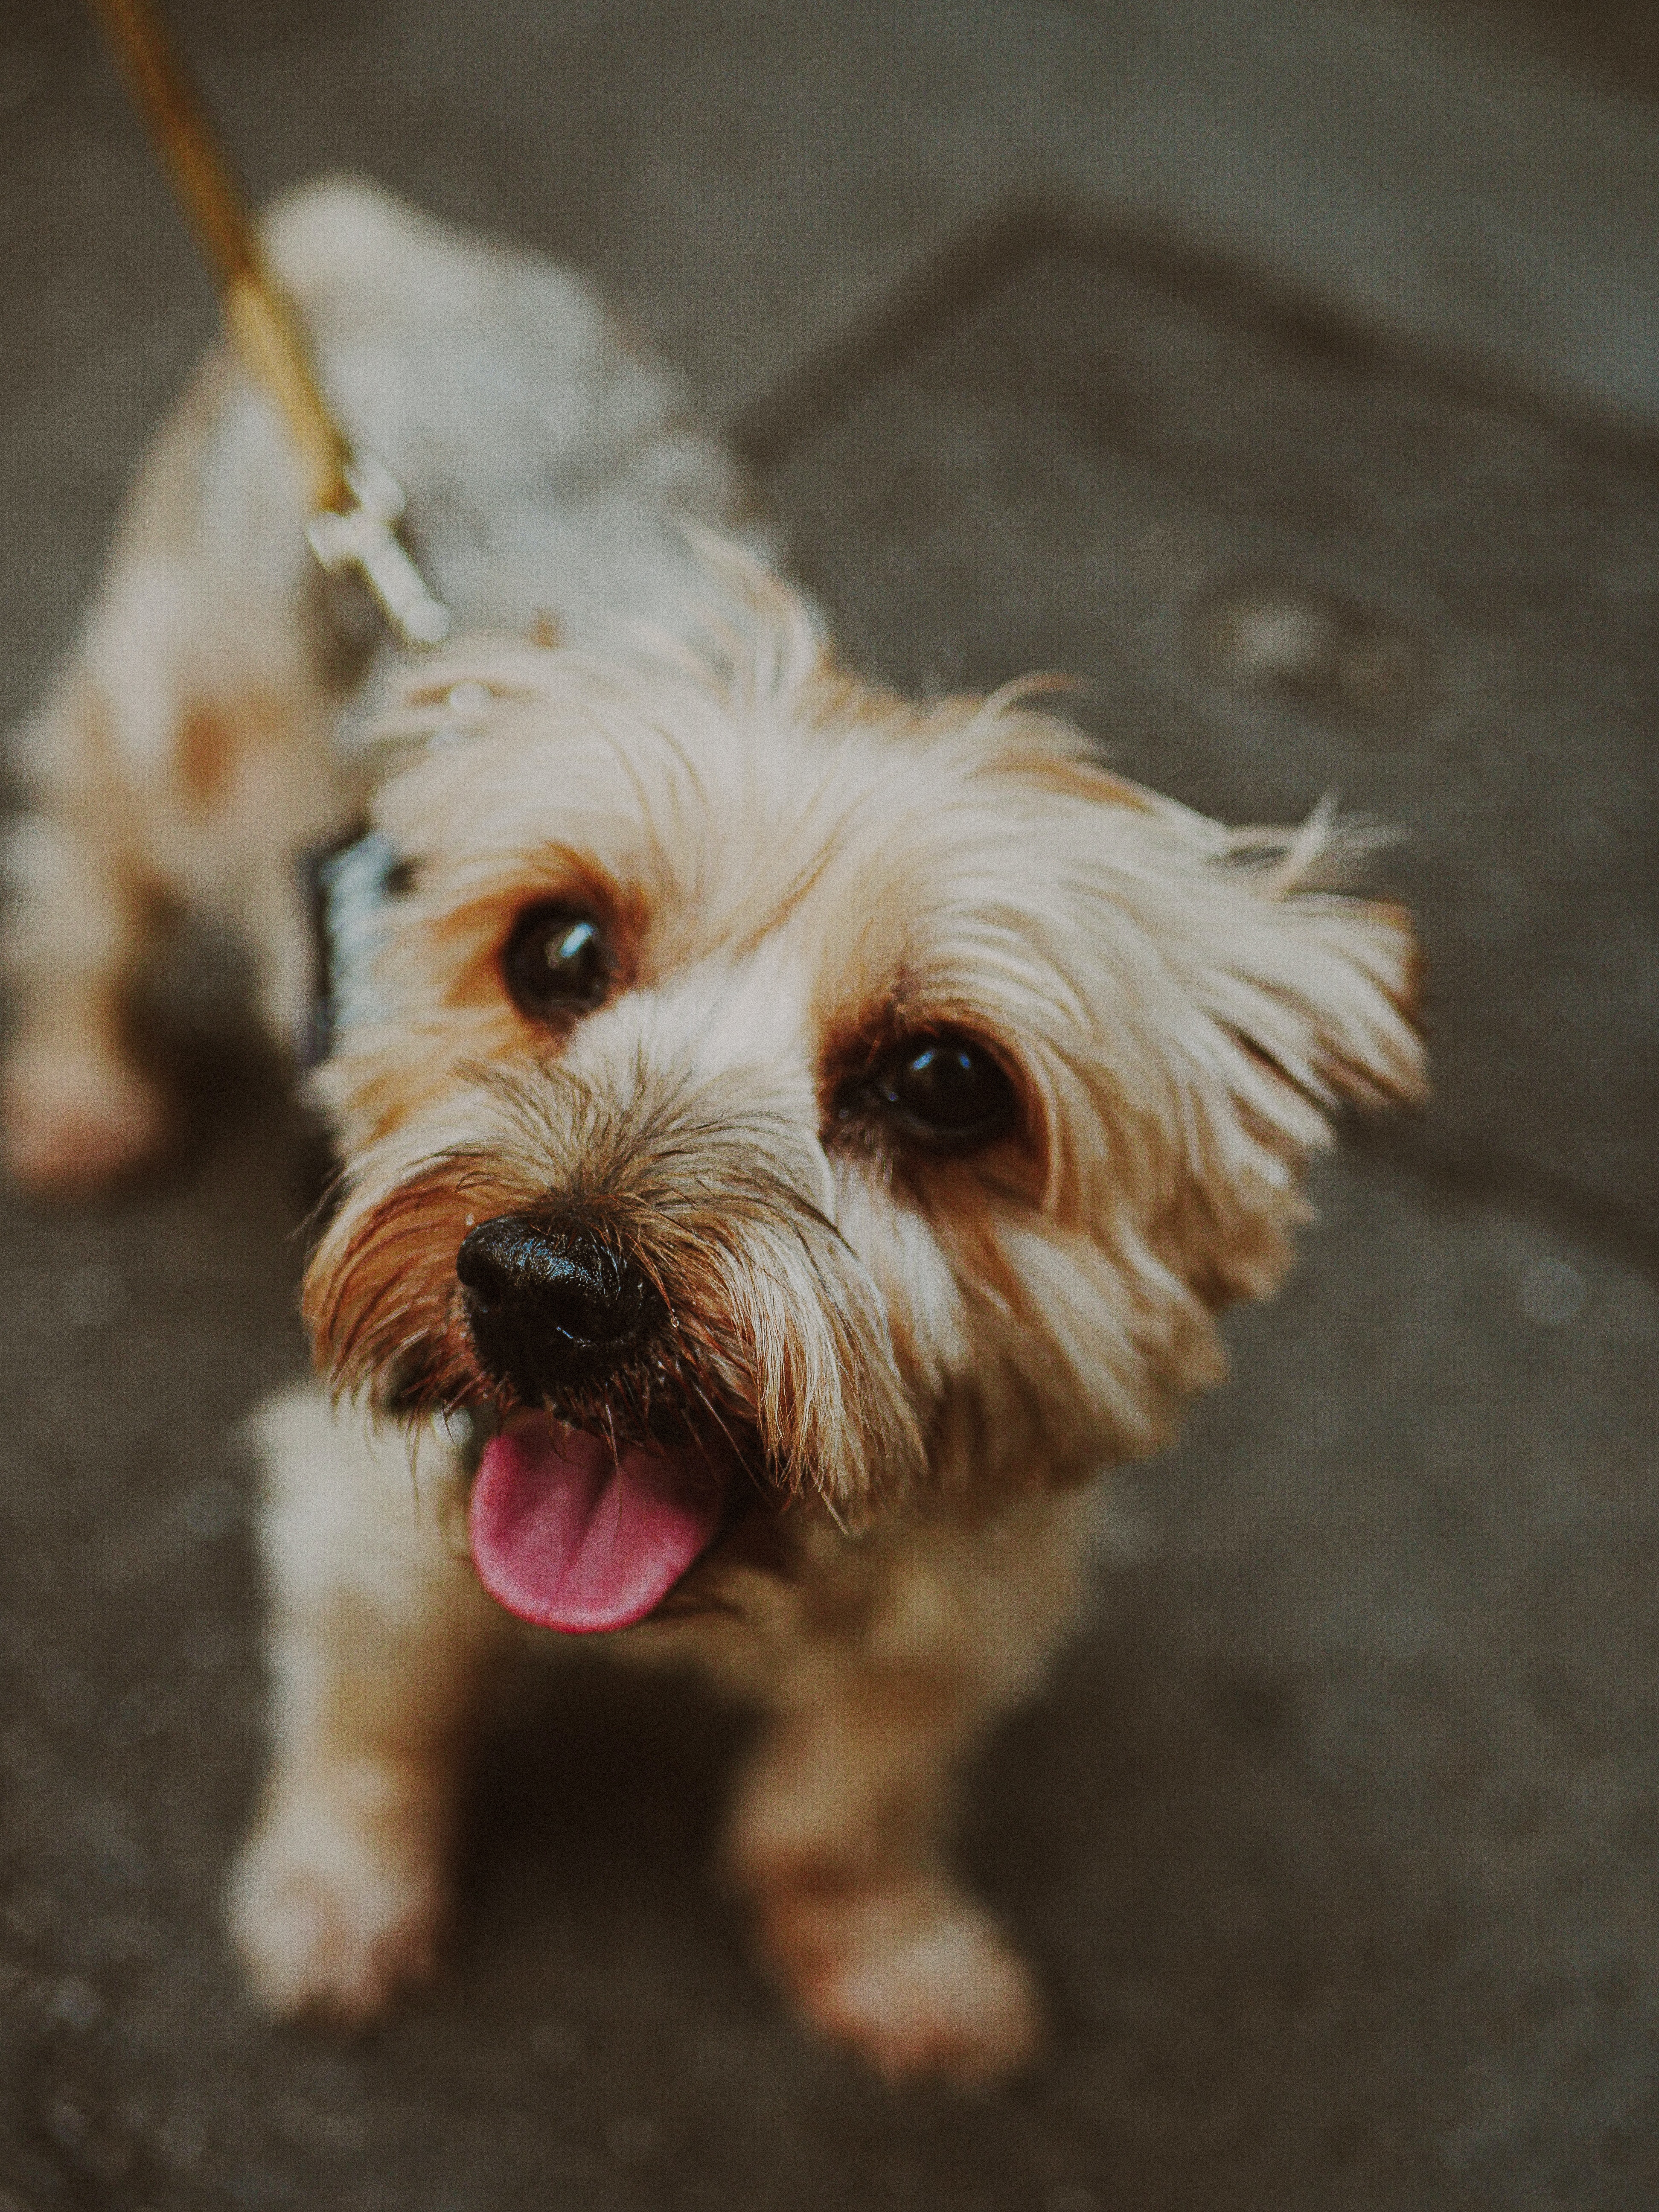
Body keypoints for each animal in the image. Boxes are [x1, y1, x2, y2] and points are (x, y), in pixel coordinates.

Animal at [3, 177, 1433, 2070]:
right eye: (558, 949)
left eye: (948, 1082)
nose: (546, 1289)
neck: (750, 1569)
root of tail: (377, 244)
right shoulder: (375, 1500)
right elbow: (376, 1718)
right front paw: (336, 1904)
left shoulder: (976, 1584)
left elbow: (842, 1799)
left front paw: (892, 1952)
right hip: (170, 721)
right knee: (87, 873)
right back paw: (77, 1091)